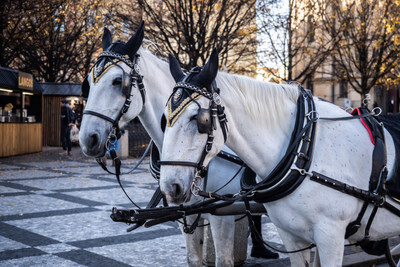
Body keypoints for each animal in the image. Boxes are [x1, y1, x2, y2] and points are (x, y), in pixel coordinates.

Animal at [79, 23, 260, 267]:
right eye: (88, 83)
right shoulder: (185, 211)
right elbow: (193, 258)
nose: (87, 139)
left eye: (118, 81)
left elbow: (224, 261)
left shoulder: (222, 216)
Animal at [160, 49, 400, 266]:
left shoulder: (330, 235)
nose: (170, 187)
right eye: (165, 119)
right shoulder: (291, 235)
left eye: (198, 119)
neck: (305, 150)